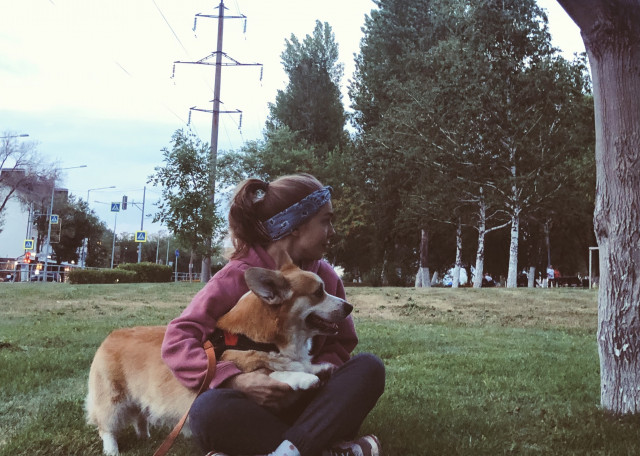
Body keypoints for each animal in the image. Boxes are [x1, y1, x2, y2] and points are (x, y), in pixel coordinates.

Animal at [86, 256, 353, 456]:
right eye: (319, 292)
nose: (349, 307)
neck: (266, 337)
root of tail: (110, 336)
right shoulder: (240, 362)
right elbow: (273, 370)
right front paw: (304, 378)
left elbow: (299, 363)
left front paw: (319, 367)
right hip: (113, 399)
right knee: (107, 426)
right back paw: (112, 449)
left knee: (140, 414)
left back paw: (145, 435)